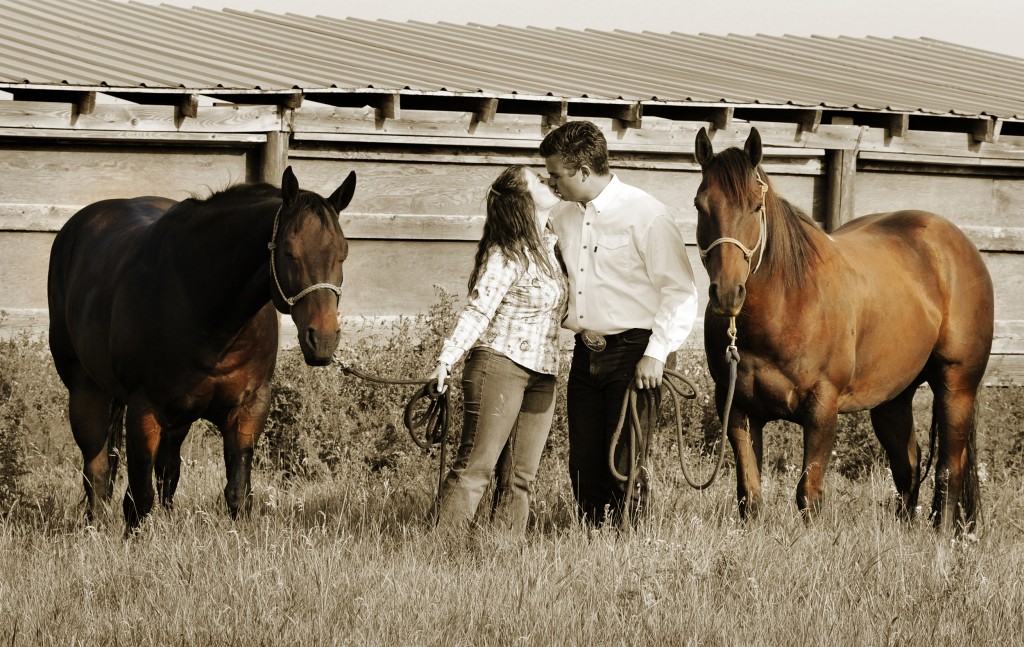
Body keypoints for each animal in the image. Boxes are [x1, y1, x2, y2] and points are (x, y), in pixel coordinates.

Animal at [49, 166, 358, 532]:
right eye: (288, 251)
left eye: (343, 253)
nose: (322, 339)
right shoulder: (143, 409)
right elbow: (138, 499)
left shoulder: (249, 409)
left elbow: (237, 494)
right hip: (86, 390)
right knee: (96, 470)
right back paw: (93, 529)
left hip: (176, 419)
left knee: (167, 472)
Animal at [692, 126, 995, 532]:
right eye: (700, 205)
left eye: (756, 207)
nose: (727, 293)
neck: (788, 303)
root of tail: (958, 245)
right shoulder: (738, 407)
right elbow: (749, 495)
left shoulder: (822, 406)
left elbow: (808, 493)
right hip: (892, 400)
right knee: (908, 465)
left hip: (956, 387)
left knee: (950, 469)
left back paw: (942, 535)